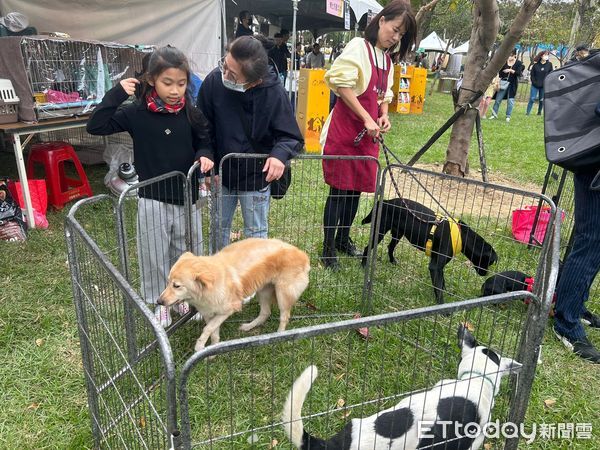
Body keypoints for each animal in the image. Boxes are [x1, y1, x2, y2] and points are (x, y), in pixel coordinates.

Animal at [360, 199, 496, 304]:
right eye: (489, 262)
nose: (486, 274)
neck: (462, 236)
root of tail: (386, 201)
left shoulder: (438, 265)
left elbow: (442, 283)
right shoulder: (435, 266)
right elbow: (439, 288)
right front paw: (442, 307)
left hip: (398, 233)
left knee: (390, 247)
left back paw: (392, 261)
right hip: (379, 232)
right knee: (367, 248)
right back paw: (363, 265)